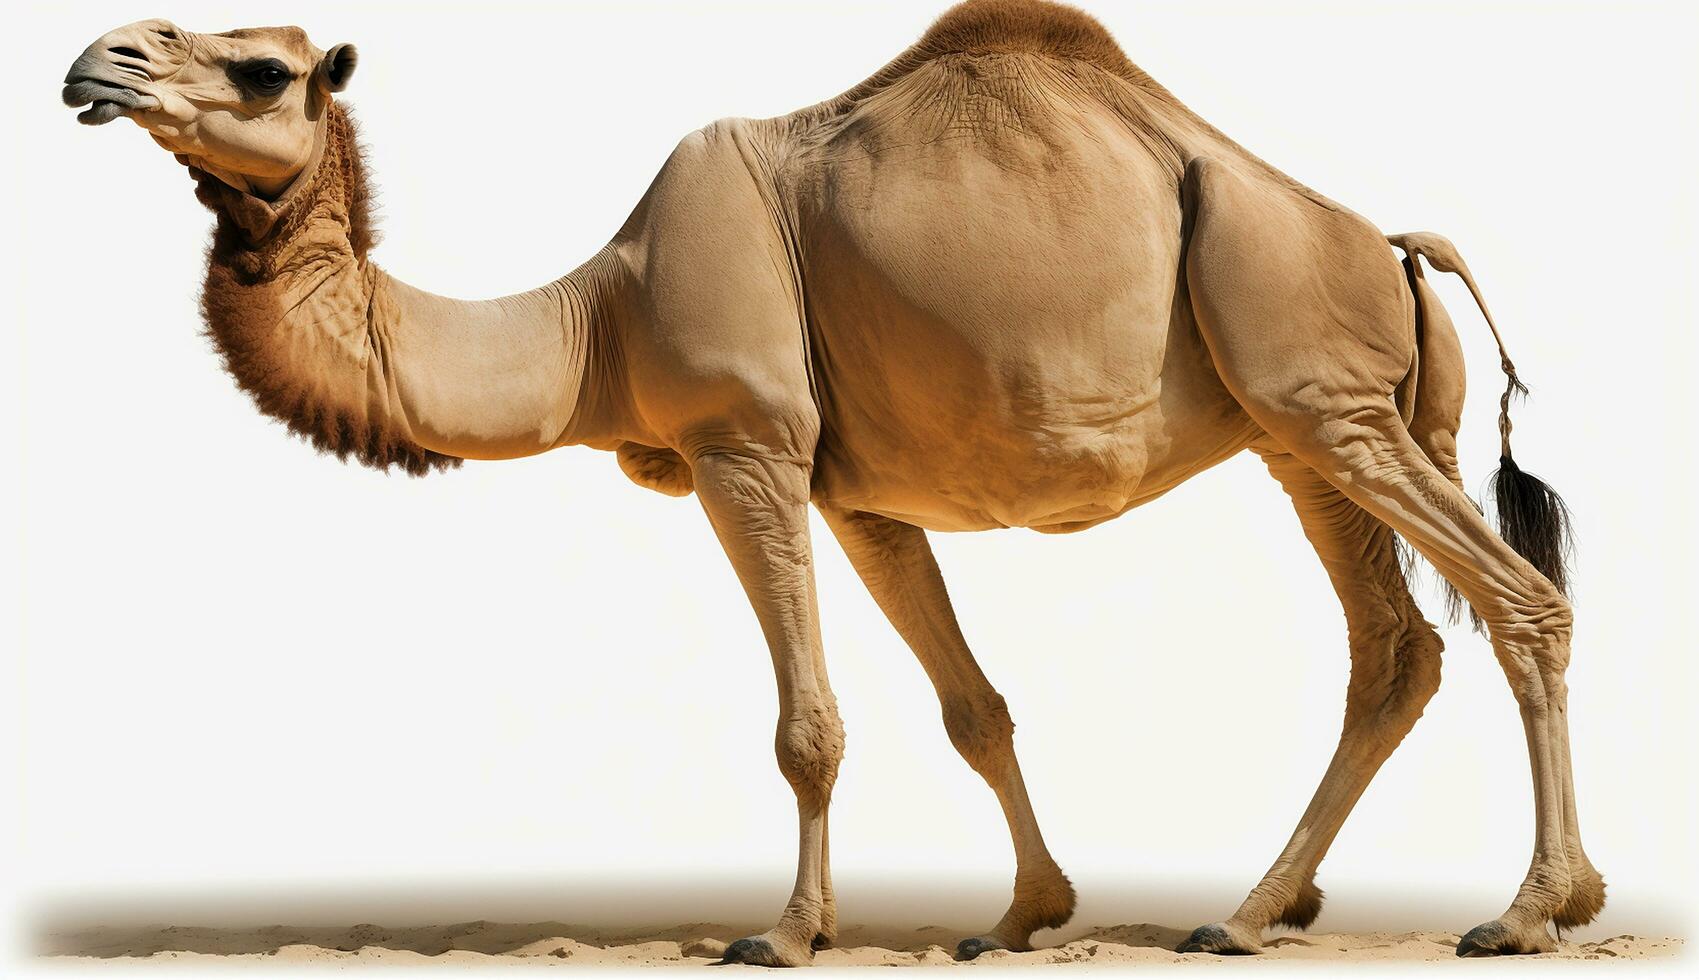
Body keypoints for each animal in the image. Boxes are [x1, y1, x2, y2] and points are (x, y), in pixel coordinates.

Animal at [60, 0, 1598, 965]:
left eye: (261, 68)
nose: (93, 63)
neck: (594, 320)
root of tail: (1389, 243)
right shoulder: (860, 493)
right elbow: (972, 707)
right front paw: (1023, 914)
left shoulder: (743, 445)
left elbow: (807, 724)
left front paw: (786, 931)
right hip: (1324, 424)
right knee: (1393, 647)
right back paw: (1252, 910)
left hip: (1311, 375)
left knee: (1519, 602)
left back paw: (1531, 910)